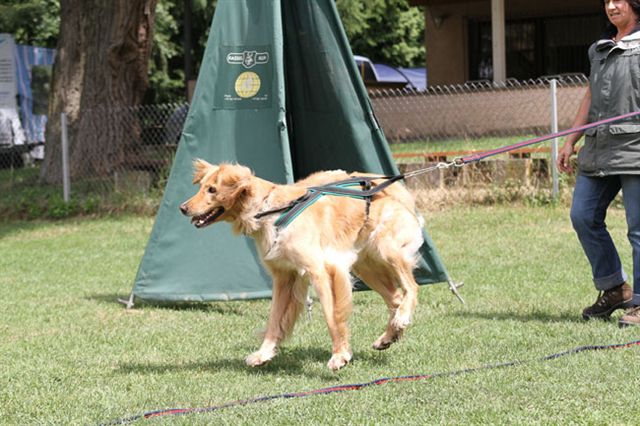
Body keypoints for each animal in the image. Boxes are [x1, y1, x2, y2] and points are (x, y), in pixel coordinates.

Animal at [180, 160, 424, 370]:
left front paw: (339, 355)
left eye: (212, 190)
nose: (183, 208)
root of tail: (390, 186)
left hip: (386, 248)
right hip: (365, 267)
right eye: (201, 187)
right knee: (396, 298)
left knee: (411, 287)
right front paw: (263, 353)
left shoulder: (322, 270)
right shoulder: (284, 276)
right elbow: (274, 319)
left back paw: (401, 318)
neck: (271, 209)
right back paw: (390, 335)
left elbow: (332, 317)